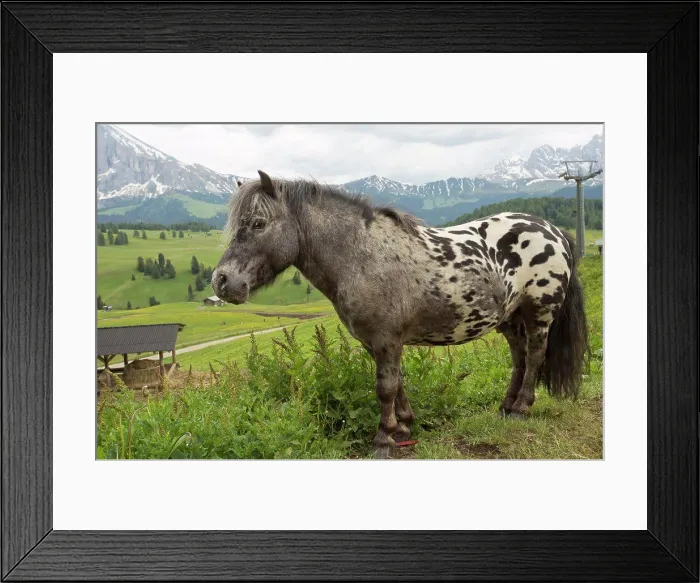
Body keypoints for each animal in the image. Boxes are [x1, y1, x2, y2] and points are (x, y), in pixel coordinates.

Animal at [213, 170, 590, 459]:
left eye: (258, 223)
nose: (221, 281)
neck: (361, 255)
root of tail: (554, 231)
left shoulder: (385, 340)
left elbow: (385, 388)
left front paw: (384, 438)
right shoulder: (379, 342)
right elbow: (398, 384)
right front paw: (405, 425)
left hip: (539, 312)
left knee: (536, 355)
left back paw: (521, 408)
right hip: (511, 320)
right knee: (520, 358)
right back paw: (506, 406)